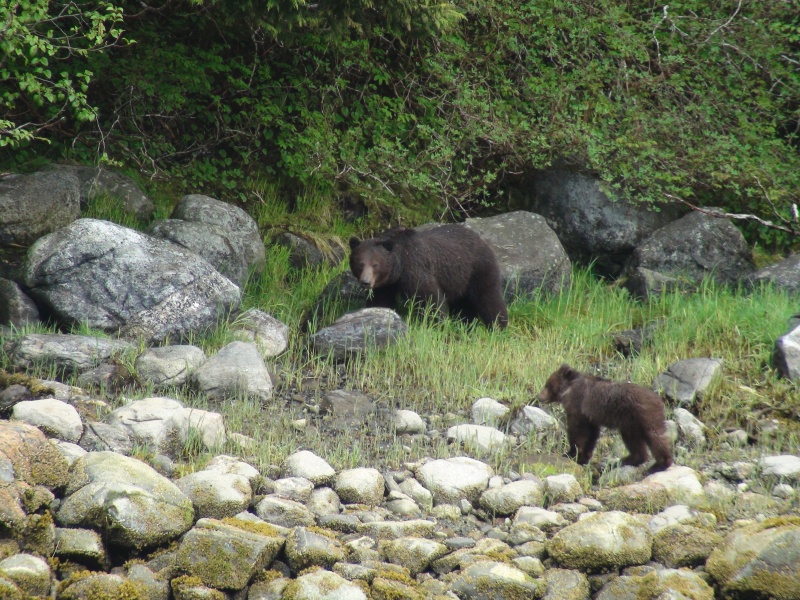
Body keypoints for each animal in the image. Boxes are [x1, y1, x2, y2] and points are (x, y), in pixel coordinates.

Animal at [348, 224, 508, 328]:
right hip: (458, 279)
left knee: (488, 296)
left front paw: (437, 324)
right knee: (463, 303)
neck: (399, 267)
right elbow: (381, 300)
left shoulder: (415, 269)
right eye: (360, 264)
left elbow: (430, 298)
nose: (366, 282)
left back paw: (499, 325)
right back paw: (465, 322)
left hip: (477, 268)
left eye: (375, 264)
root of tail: (481, 239)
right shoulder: (387, 284)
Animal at [536, 363, 673, 472]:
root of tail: (659, 400)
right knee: (634, 441)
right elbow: (591, 433)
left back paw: (659, 464)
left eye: (548, 385)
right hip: (630, 423)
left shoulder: (577, 405)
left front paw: (571, 453)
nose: (539, 396)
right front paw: (583, 457)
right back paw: (625, 460)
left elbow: (578, 430)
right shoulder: (589, 415)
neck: (568, 389)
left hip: (644, 416)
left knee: (655, 437)